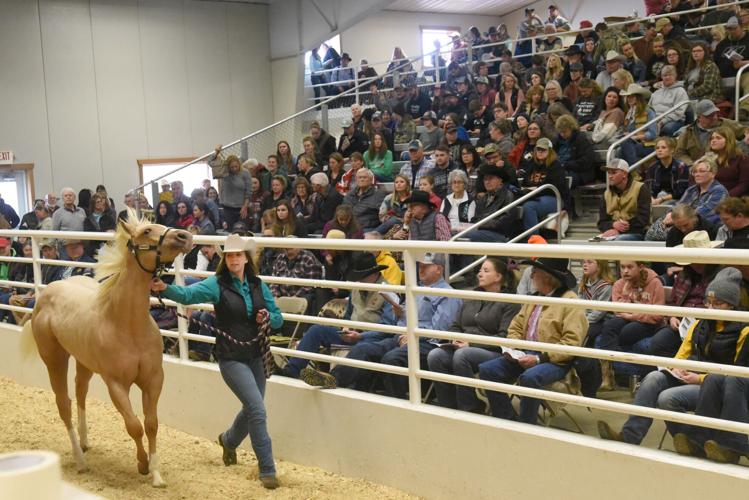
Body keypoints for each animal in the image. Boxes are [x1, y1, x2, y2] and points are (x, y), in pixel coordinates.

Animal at [19, 215, 192, 487]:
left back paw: (84, 442)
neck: (127, 324)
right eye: (146, 231)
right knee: (64, 404)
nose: (185, 237)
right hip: (54, 359)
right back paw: (80, 461)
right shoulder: (116, 384)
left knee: (80, 392)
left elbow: (151, 424)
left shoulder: (153, 379)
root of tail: (46, 294)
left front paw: (156, 474)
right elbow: (134, 425)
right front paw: (142, 465)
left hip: (84, 362)